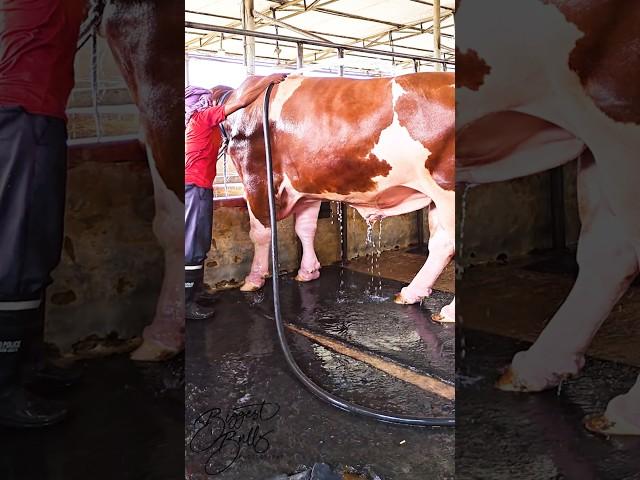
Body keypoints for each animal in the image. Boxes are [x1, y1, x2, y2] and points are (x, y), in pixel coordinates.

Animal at [215, 73, 456, 322]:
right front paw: (308, 271)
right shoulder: (307, 186)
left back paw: (448, 311)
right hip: (438, 197)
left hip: (448, 190)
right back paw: (411, 293)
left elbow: (260, 233)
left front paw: (254, 279)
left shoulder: (255, 177)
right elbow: (305, 228)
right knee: (441, 244)